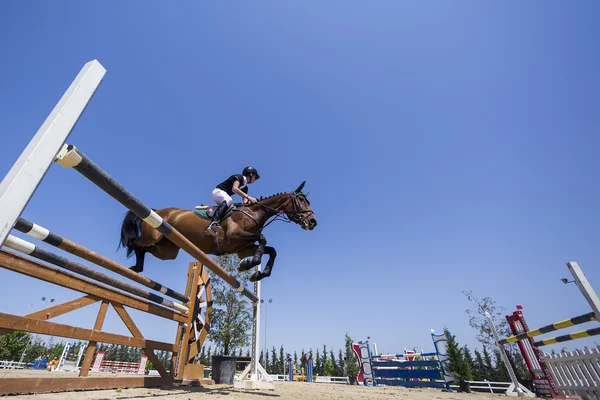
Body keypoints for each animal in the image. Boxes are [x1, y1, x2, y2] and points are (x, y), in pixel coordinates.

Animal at [120, 181, 318, 282]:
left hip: (167, 250)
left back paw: (137, 268)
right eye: (301, 201)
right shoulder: (233, 237)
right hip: (152, 235)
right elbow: (263, 238)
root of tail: (158, 211)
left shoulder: (243, 248)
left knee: (145, 250)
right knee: (136, 243)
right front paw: (250, 264)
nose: (313, 222)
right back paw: (133, 263)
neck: (254, 213)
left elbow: (271, 250)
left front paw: (256, 272)